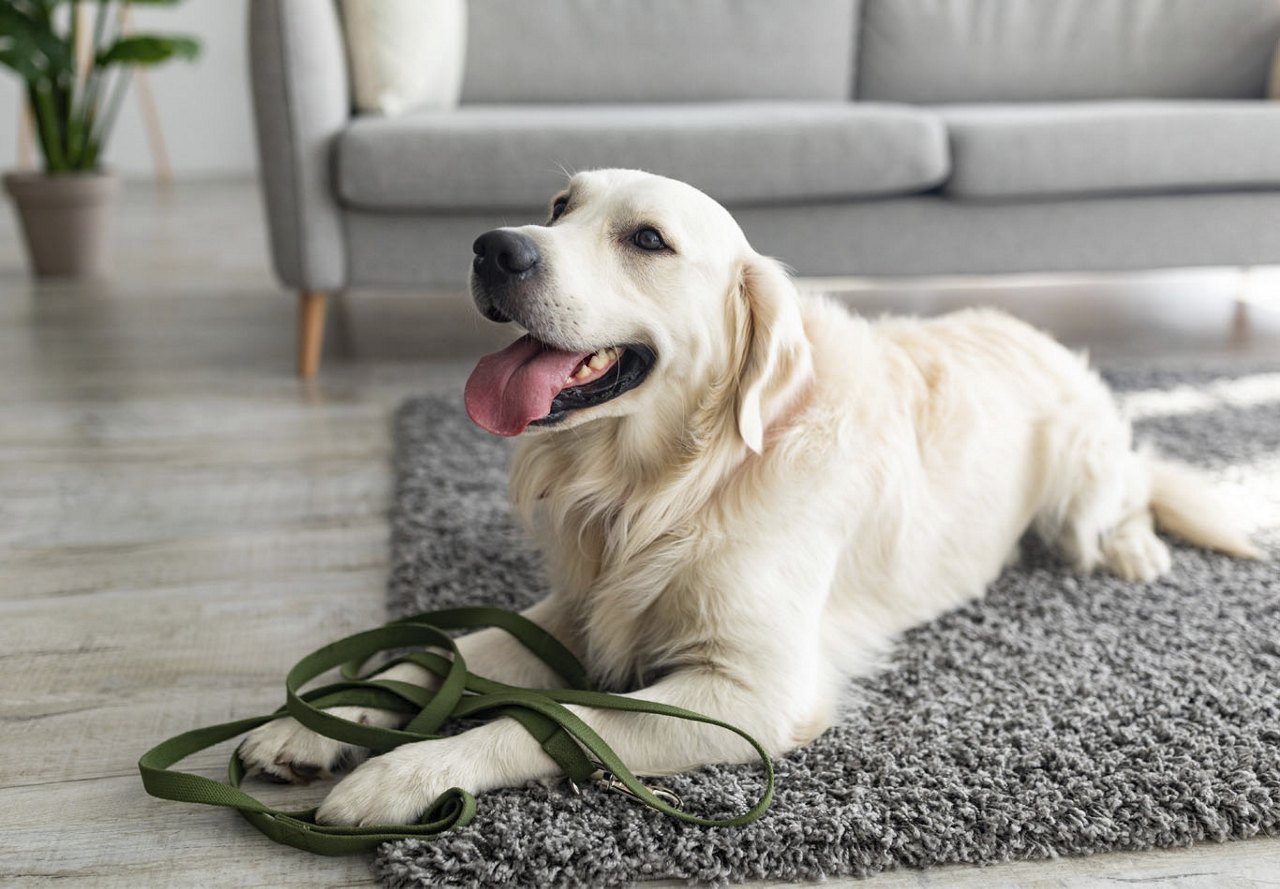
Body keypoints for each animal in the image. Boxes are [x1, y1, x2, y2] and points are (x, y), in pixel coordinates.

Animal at [238, 168, 1259, 828]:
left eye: (647, 239)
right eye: (560, 206)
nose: (495, 249)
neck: (669, 484)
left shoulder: (748, 692)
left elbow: (556, 720)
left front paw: (402, 775)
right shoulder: (573, 608)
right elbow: (436, 654)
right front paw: (304, 723)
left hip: (1086, 480)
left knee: (1130, 495)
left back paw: (1136, 547)